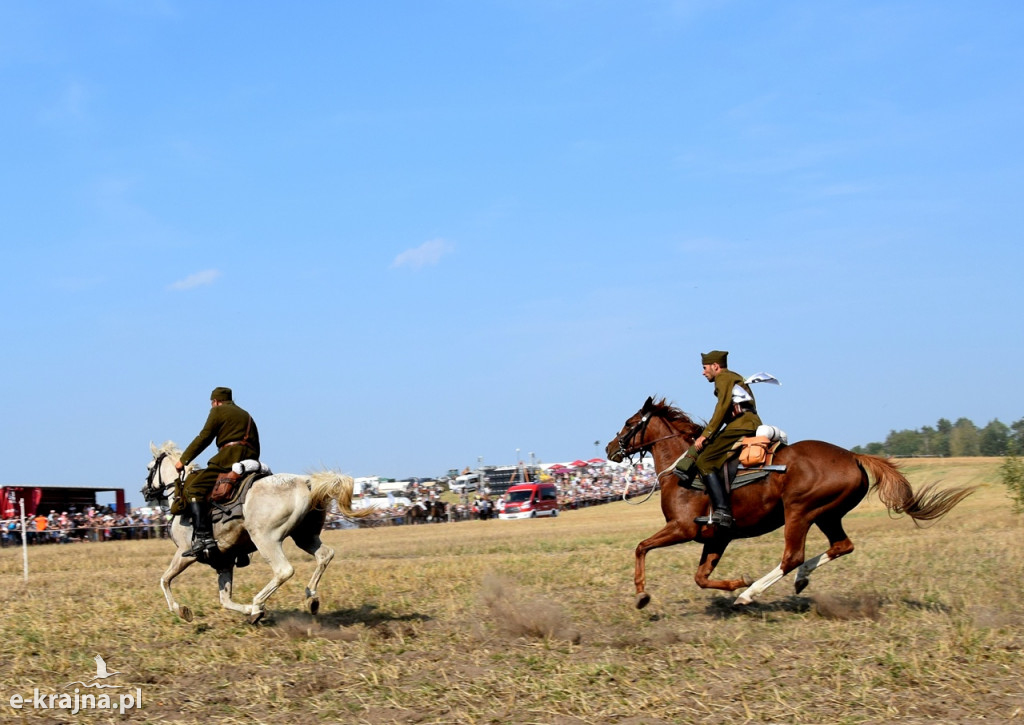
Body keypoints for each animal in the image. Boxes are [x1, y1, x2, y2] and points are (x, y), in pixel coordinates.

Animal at [142, 442, 370, 622]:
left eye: (149, 468)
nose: (145, 492)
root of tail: (305, 483)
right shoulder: (224, 561)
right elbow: (225, 600)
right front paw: (247, 610)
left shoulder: (184, 553)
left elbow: (165, 580)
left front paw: (181, 610)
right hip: (305, 537)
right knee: (324, 555)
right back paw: (311, 598)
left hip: (265, 539)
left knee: (283, 570)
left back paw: (258, 603)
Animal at [606, 399, 974, 610]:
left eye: (629, 423)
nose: (610, 448)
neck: (684, 468)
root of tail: (853, 455)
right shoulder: (717, 537)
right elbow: (701, 577)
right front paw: (734, 583)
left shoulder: (681, 529)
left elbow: (641, 547)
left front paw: (642, 595)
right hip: (828, 514)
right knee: (842, 545)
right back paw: (798, 580)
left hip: (800, 511)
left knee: (792, 556)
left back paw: (753, 591)